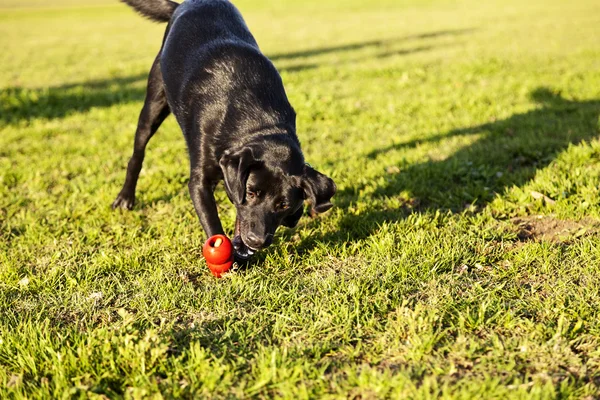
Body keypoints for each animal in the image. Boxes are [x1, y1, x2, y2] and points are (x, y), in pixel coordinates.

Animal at [112, 0, 336, 260]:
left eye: (283, 205)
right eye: (251, 193)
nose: (256, 240)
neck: (257, 123)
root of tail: (182, 5)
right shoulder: (199, 181)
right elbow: (212, 223)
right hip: (153, 104)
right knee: (137, 155)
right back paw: (125, 197)